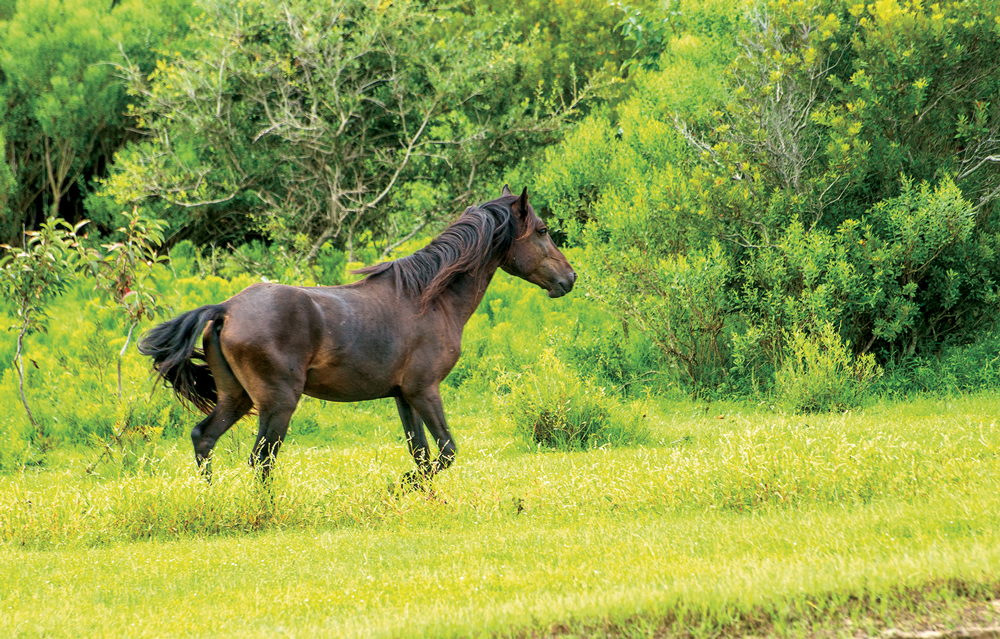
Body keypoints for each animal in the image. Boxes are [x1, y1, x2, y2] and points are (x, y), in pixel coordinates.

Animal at [141, 188, 580, 482]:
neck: (428, 297)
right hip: (277, 404)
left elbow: (421, 455)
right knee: (261, 459)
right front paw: (400, 487)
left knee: (204, 438)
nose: (569, 278)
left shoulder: (403, 396)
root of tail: (226, 309)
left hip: (236, 398)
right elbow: (445, 452)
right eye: (542, 230)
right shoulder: (425, 390)